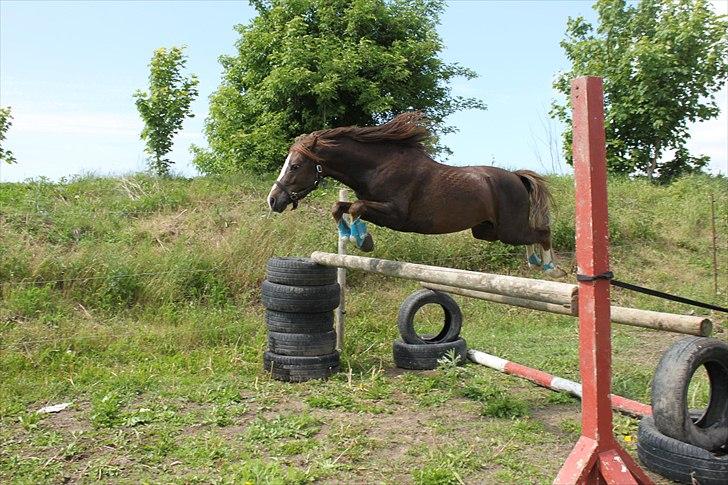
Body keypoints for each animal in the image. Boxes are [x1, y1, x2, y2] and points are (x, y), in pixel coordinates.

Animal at [267, 112, 565, 276]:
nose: (273, 200)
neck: (377, 166)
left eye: (295, 166)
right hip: (487, 231)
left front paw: (362, 240)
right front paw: (347, 236)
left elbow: (356, 207)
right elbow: (339, 207)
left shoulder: (396, 214)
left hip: (507, 230)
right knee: (532, 236)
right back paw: (534, 262)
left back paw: (549, 268)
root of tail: (516, 177)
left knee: (542, 232)